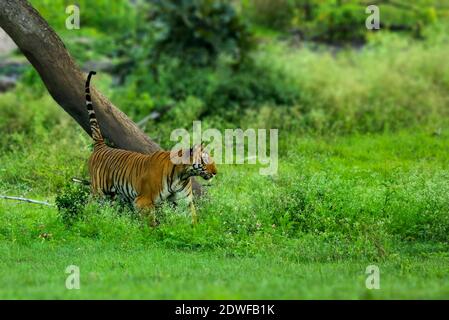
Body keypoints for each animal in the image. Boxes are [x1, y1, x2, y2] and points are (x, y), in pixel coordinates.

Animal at [85, 70, 217, 225]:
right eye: (204, 160)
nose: (215, 173)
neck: (183, 175)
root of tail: (101, 146)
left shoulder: (185, 202)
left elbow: (193, 220)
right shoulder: (144, 201)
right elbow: (151, 224)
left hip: (112, 196)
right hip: (98, 191)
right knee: (89, 206)